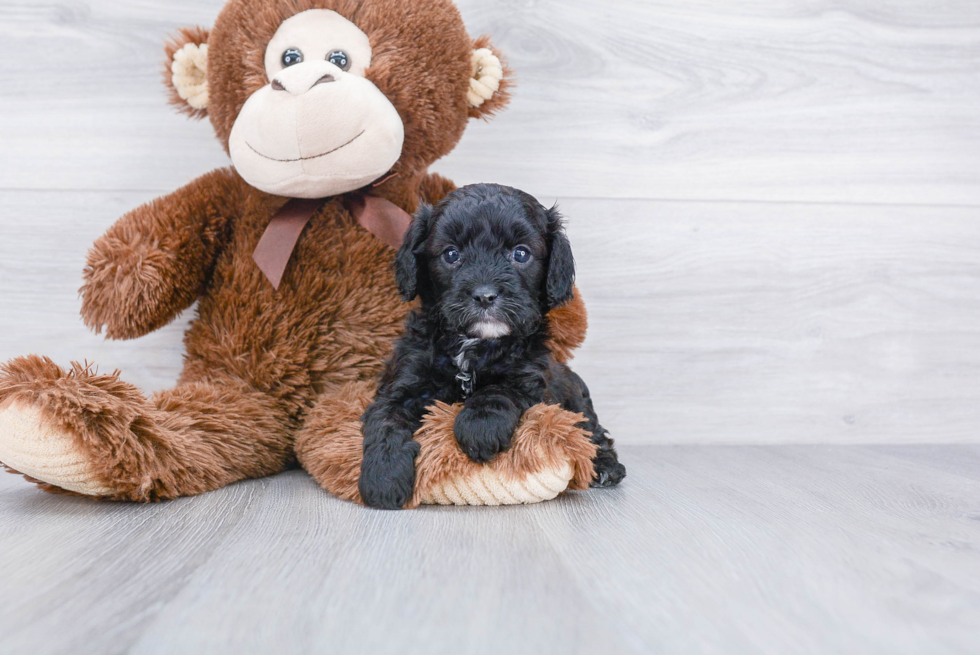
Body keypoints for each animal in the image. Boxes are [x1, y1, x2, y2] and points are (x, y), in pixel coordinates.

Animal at [360, 182, 628, 510]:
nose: (485, 295)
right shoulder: (404, 381)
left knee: (591, 430)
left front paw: (480, 427)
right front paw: (382, 478)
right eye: (451, 254)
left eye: (520, 253)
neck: (474, 346)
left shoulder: (528, 378)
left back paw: (606, 466)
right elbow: (386, 419)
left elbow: (499, 391)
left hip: (577, 400)